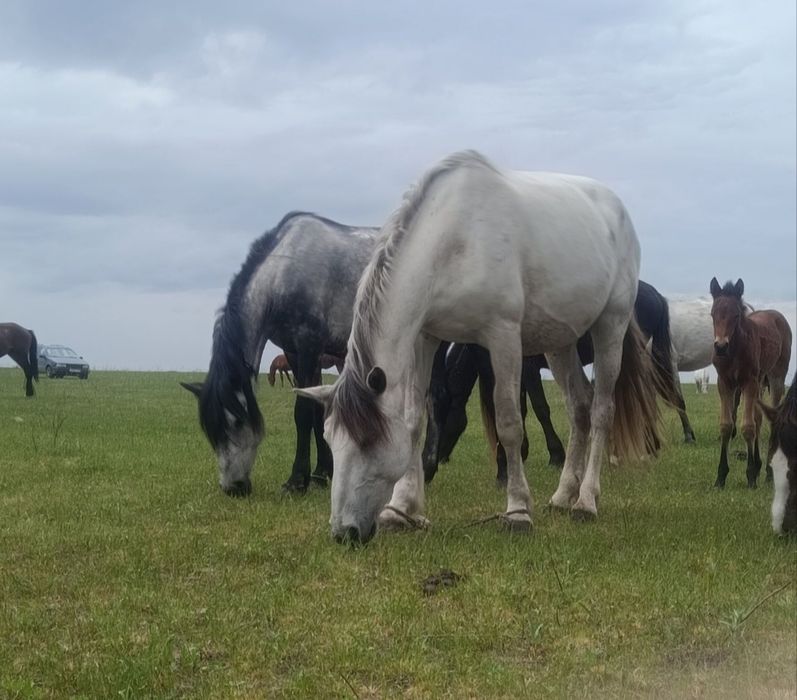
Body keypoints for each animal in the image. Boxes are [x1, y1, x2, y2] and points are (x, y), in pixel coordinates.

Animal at [182, 212, 378, 496]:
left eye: (236, 422)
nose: (233, 488)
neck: (285, 272)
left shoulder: (309, 347)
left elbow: (303, 412)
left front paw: (296, 481)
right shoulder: (294, 352)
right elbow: (318, 412)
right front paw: (321, 474)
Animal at [423, 279, 687, 486]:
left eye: (445, 413)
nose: (437, 459)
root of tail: (656, 294)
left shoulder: (527, 369)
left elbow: (538, 408)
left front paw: (552, 456)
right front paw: (521, 454)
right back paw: (649, 445)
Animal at [709, 278, 792, 489]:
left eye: (736, 315)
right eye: (713, 314)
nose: (720, 347)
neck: (735, 350)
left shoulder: (749, 382)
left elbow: (747, 427)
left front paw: (751, 477)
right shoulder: (724, 383)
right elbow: (726, 425)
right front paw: (721, 477)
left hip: (775, 378)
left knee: (769, 418)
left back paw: (768, 472)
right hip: (760, 384)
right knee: (758, 418)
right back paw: (759, 465)